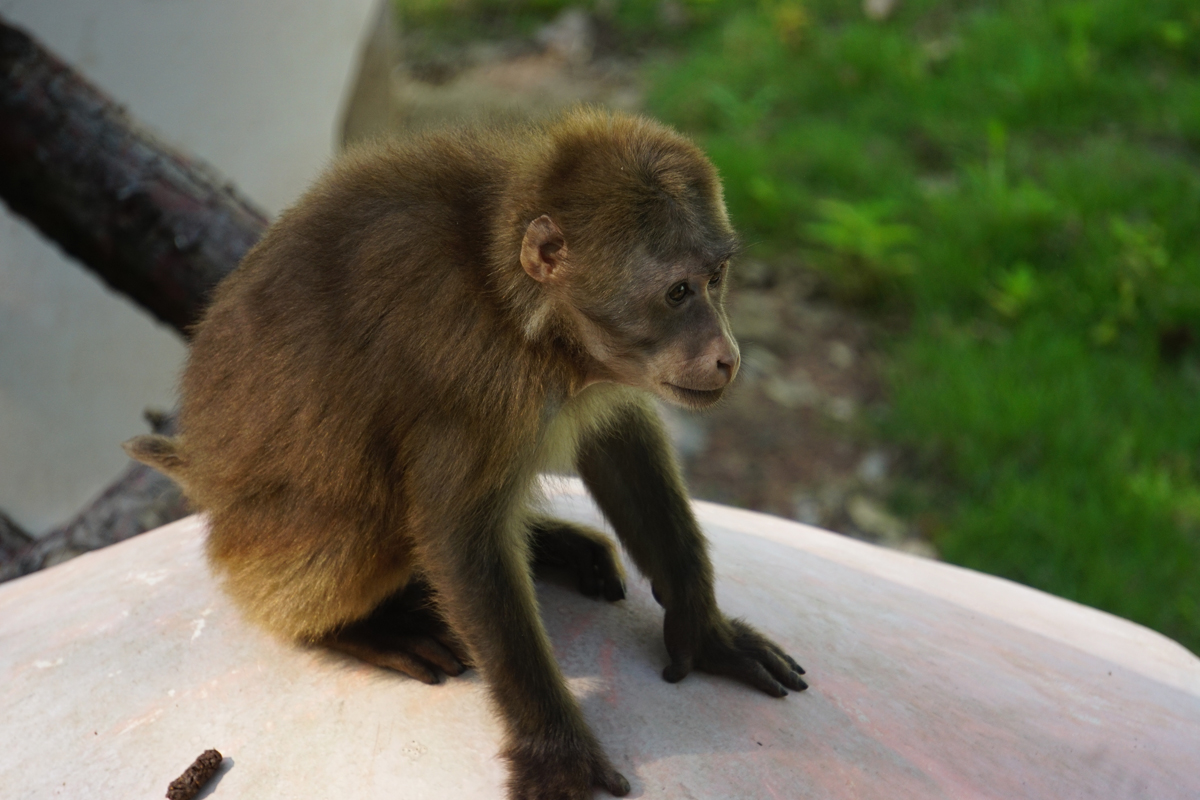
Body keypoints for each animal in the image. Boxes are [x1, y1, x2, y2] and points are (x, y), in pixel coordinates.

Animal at [125, 108, 807, 800]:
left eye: (715, 280)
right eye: (676, 293)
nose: (726, 356)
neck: (524, 315)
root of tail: (203, 478)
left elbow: (619, 436)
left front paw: (702, 626)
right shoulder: (469, 371)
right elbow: (458, 541)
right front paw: (556, 751)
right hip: (257, 541)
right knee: (368, 523)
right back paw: (362, 627)